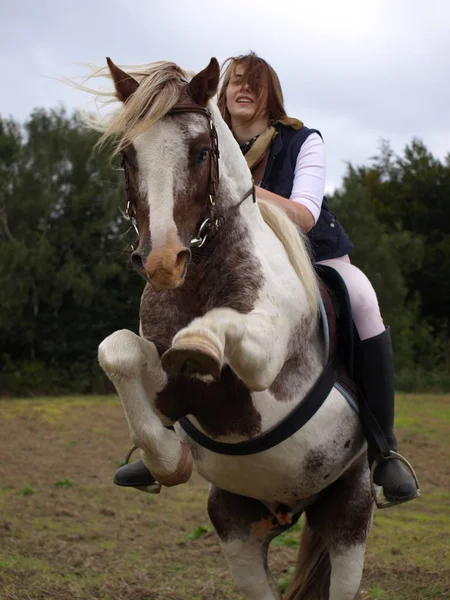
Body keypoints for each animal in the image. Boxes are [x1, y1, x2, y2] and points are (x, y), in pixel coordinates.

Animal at [89, 57, 372, 600]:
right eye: (127, 158)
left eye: (201, 152)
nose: (162, 262)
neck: (200, 279)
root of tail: (290, 509)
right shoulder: (174, 386)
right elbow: (119, 351)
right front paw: (167, 460)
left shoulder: (264, 365)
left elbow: (222, 337)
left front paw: (200, 341)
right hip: (237, 528)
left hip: (351, 511)